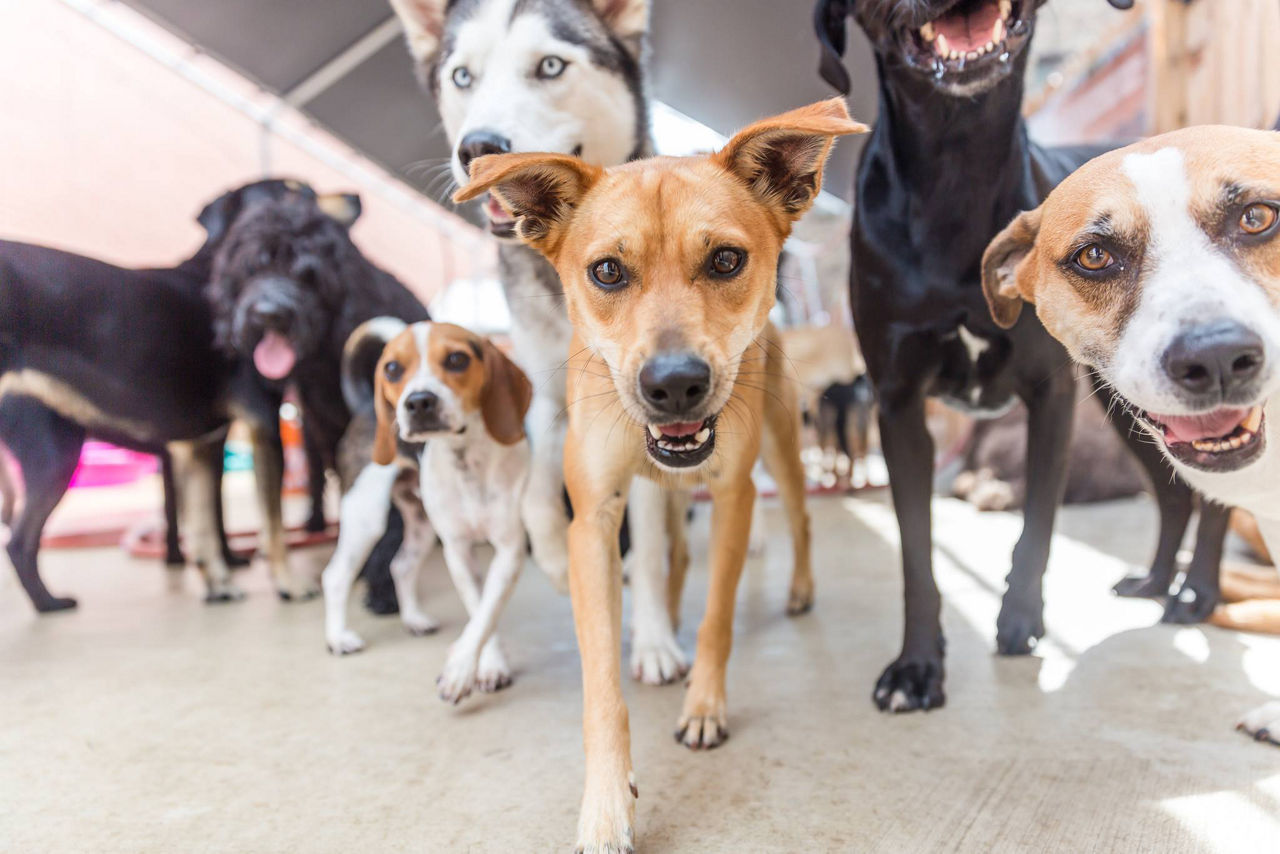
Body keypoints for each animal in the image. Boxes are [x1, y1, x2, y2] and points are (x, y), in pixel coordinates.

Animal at [207, 192, 427, 614]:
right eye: (251, 267)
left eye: (307, 275)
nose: (268, 314)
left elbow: (390, 520)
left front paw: (382, 585)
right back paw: (313, 524)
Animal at [327, 318, 537, 701]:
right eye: (392, 368)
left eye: (457, 359)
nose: (419, 402)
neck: (466, 459)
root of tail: (365, 407)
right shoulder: (457, 550)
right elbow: (479, 610)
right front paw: (479, 666)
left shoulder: (510, 550)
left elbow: (486, 613)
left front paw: (470, 667)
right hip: (365, 518)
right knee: (334, 575)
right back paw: (338, 638)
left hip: (422, 525)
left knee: (401, 566)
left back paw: (413, 619)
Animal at [455, 100, 865, 854]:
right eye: (608, 271)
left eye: (727, 259)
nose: (675, 386)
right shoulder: (594, 520)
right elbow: (601, 687)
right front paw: (606, 804)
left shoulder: (733, 495)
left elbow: (718, 620)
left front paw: (703, 704)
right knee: (670, 554)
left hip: (784, 451)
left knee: (798, 517)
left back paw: (795, 590)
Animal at [819, 0, 1228, 711]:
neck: (956, 170)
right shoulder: (898, 406)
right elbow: (916, 553)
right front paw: (916, 666)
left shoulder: (1049, 393)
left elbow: (1036, 522)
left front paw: (1019, 619)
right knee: (1176, 496)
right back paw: (1153, 582)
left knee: (1212, 498)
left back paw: (1197, 591)